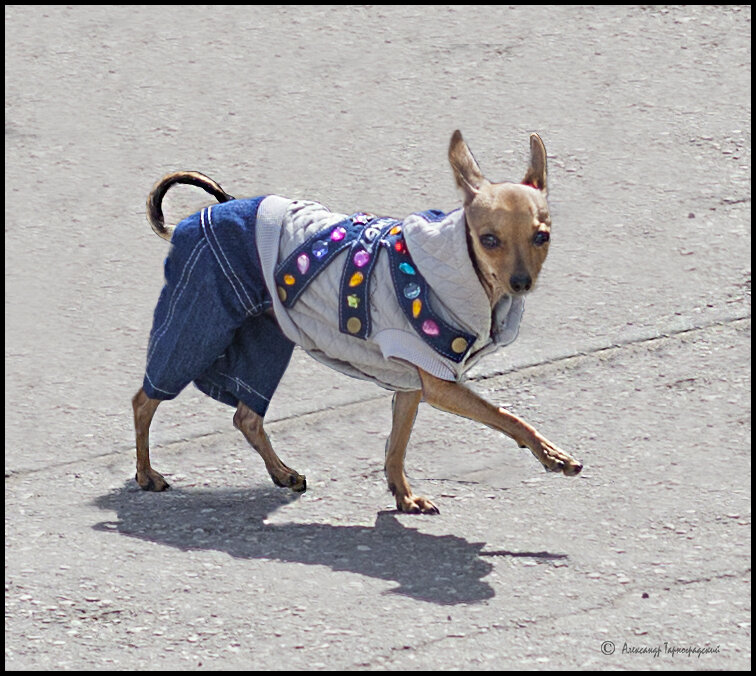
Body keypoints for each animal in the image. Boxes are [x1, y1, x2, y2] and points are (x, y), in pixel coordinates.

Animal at [134, 131, 584, 512]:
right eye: (489, 240)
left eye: (541, 237)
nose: (521, 282)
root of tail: (193, 219)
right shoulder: (439, 382)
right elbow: (508, 416)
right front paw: (552, 455)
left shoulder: (411, 384)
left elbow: (396, 447)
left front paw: (403, 496)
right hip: (198, 325)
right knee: (145, 399)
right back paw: (145, 474)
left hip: (268, 337)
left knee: (246, 416)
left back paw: (282, 473)